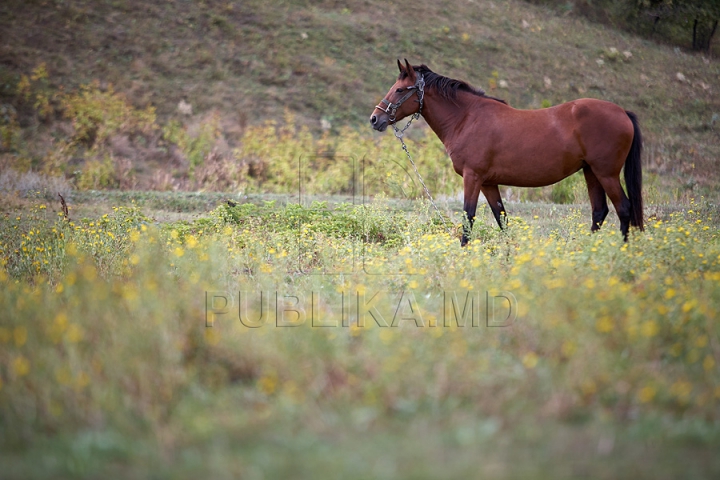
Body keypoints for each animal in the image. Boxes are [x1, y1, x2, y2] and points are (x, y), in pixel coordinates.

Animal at [368, 59, 644, 246]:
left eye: (400, 89)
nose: (375, 119)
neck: (466, 118)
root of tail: (623, 112)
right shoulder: (489, 183)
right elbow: (501, 219)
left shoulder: (473, 178)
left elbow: (468, 218)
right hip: (591, 172)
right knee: (599, 212)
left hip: (606, 173)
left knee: (624, 209)